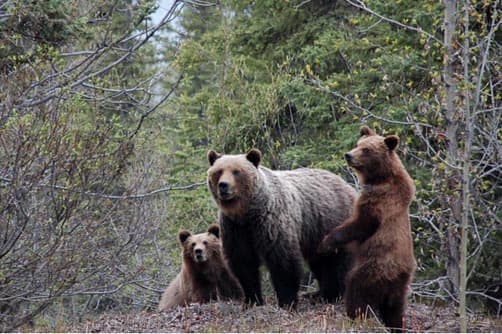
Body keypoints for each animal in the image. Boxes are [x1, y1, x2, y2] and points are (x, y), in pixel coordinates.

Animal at [206, 148, 354, 308]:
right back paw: (324, 294)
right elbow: (244, 264)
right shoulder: (235, 228)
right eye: (219, 171)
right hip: (317, 232)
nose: (223, 185)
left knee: (341, 260)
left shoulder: (271, 222)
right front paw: (252, 300)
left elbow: (283, 261)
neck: (247, 212)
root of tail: (346, 184)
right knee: (321, 261)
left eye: (236, 171)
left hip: (335, 221)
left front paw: (286, 301)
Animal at [320, 126, 418, 332]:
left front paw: (327, 242)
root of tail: (395, 274)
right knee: (394, 309)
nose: (348, 155)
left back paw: (353, 316)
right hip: (400, 284)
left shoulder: (378, 201)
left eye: (366, 149)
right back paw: (396, 326)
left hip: (373, 267)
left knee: (356, 290)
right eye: (358, 144)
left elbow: (360, 225)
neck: (380, 177)